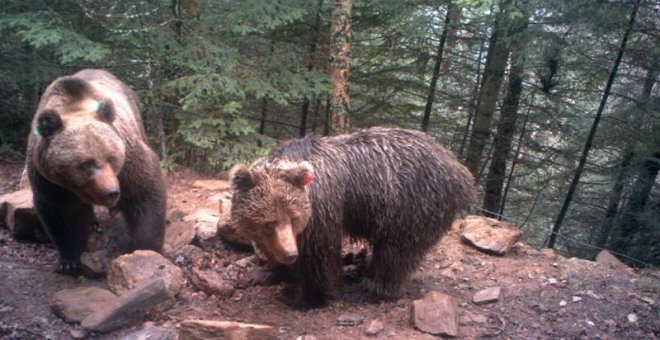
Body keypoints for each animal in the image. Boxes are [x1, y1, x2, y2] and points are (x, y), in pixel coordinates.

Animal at [27, 69, 168, 274]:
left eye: (112, 157)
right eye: (85, 164)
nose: (112, 192)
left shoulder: (128, 164)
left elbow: (144, 191)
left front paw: (146, 248)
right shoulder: (50, 182)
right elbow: (60, 213)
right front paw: (70, 260)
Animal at [231, 127, 474, 308]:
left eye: (294, 218)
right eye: (269, 223)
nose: (291, 254)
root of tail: (461, 171)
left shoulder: (322, 210)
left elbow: (320, 254)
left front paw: (303, 296)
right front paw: (265, 272)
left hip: (410, 206)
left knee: (395, 253)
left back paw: (367, 288)